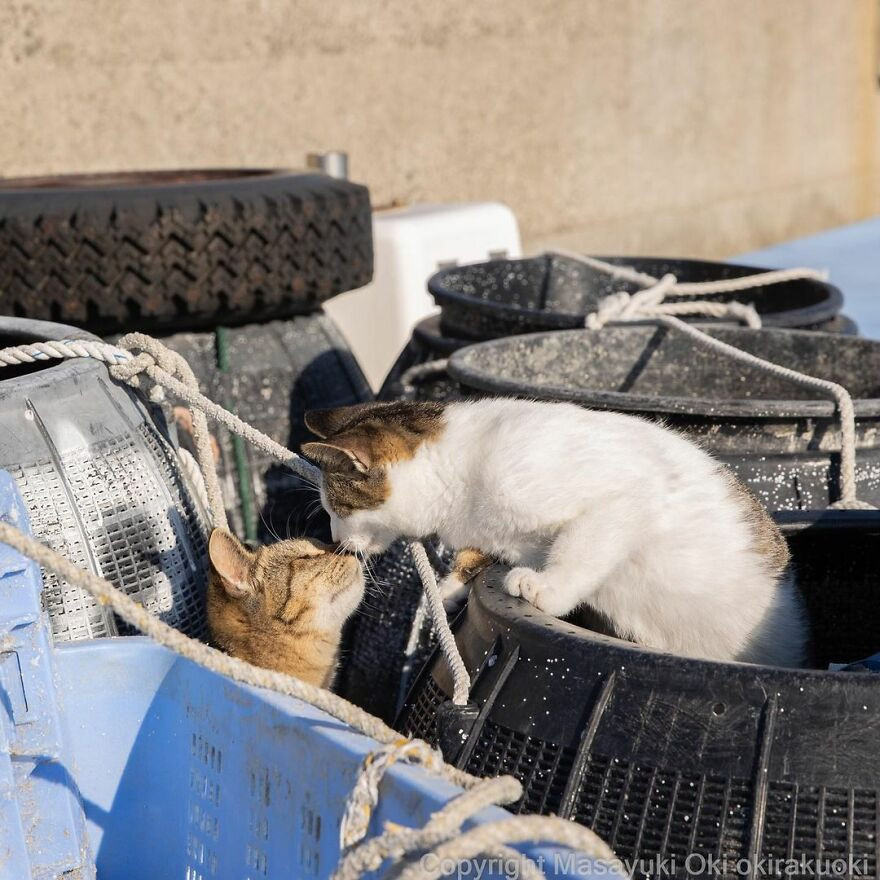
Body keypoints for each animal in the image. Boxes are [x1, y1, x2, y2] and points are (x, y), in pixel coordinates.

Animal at [304, 398, 812, 668]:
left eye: (335, 506)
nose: (334, 537)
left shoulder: (622, 497)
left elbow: (580, 548)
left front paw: (545, 588)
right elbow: (480, 555)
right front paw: (451, 586)